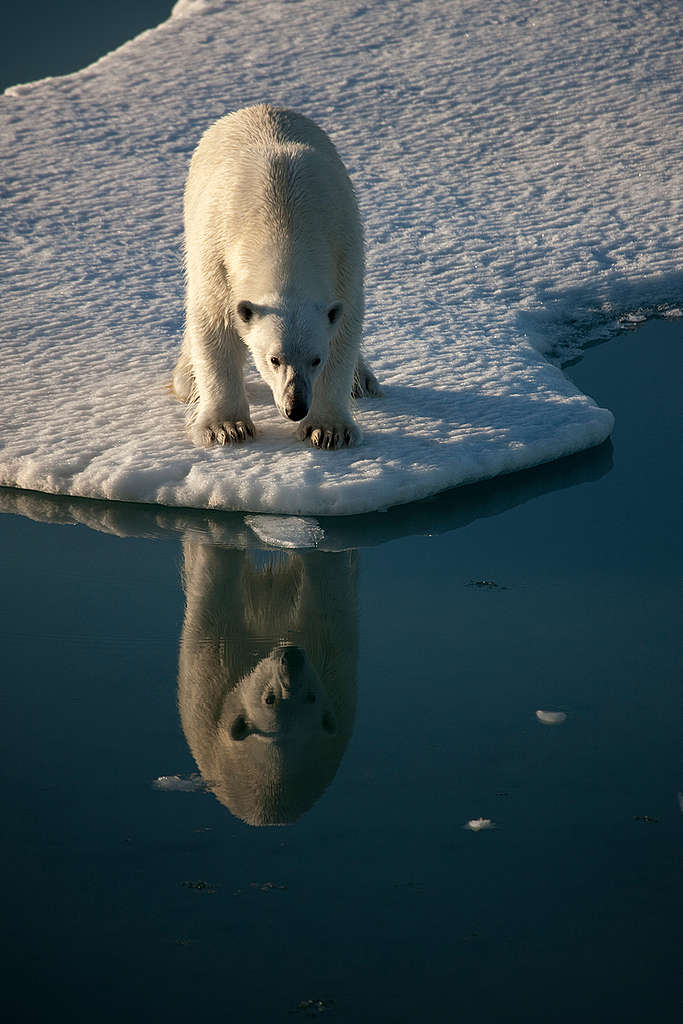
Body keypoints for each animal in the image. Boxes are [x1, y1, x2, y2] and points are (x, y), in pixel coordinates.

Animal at [171, 102, 382, 448]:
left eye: (315, 359)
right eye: (274, 359)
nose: (295, 407)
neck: (283, 216)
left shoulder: (344, 252)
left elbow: (344, 330)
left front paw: (328, 430)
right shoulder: (217, 252)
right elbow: (214, 326)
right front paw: (226, 427)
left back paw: (362, 381)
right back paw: (187, 381)